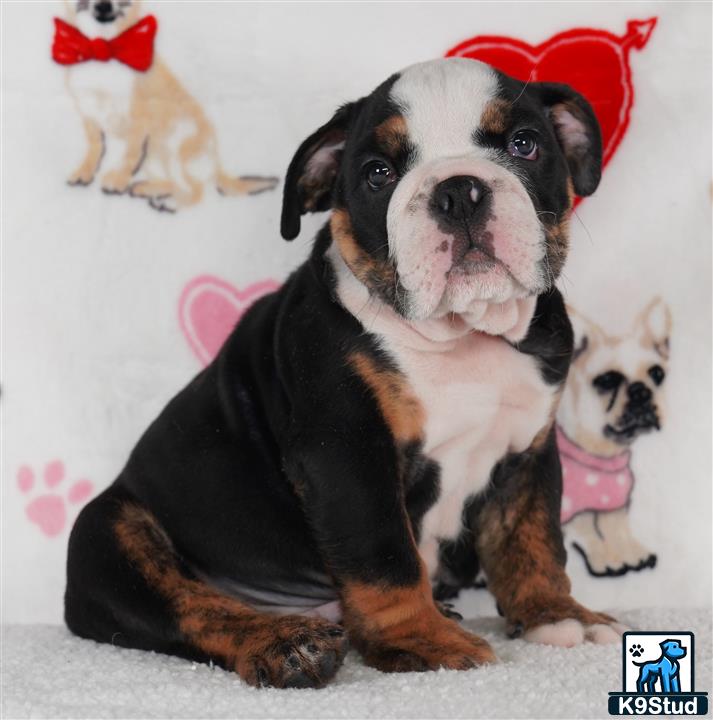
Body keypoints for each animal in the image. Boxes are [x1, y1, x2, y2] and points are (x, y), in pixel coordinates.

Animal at [68, 59, 624, 688]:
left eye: (524, 145)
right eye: (378, 174)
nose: (458, 191)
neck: (461, 337)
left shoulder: (527, 453)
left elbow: (532, 540)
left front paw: (557, 615)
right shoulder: (347, 453)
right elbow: (385, 557)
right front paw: (421, 639)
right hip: (109, 533)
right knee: (192, 606)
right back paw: (288, 643)